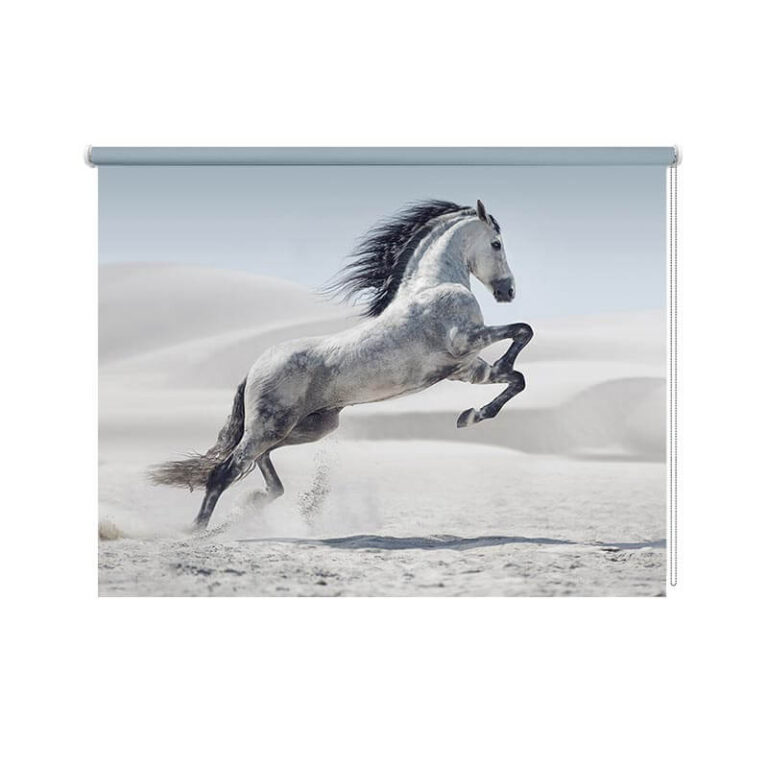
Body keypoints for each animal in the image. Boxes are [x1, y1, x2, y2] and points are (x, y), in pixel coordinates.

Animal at [151, 199, 533, 529]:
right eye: (496, 244)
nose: (509, 291)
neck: (433, 286)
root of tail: (255, 368)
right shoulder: (464, 340)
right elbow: (523, 331)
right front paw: (477, 405)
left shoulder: (466, 370)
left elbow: (516, 378)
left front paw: (470, 416)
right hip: (271, 427)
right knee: (225, 472)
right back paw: (198, 531)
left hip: (308, 427)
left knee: (261, 466)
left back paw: (253, 504)